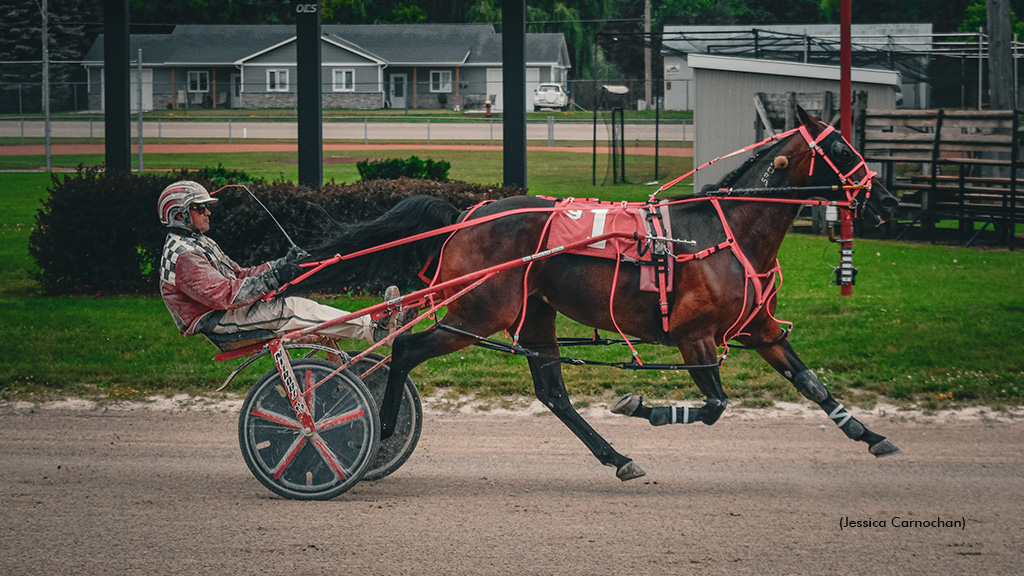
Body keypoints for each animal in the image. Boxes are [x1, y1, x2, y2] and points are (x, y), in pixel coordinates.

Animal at [299, 107, 901, 479]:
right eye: (841, 145)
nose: (888, 201)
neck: (723, 230)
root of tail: (466, 214)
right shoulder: (695, 337)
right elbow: (713, 407)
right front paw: (642, 407)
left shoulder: (759, 329)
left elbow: (812, 384)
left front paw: (871, 435)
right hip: (476, 311)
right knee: (403, 348)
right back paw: (383, 428)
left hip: (532, 315)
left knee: (553, 394)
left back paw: (617, 457)